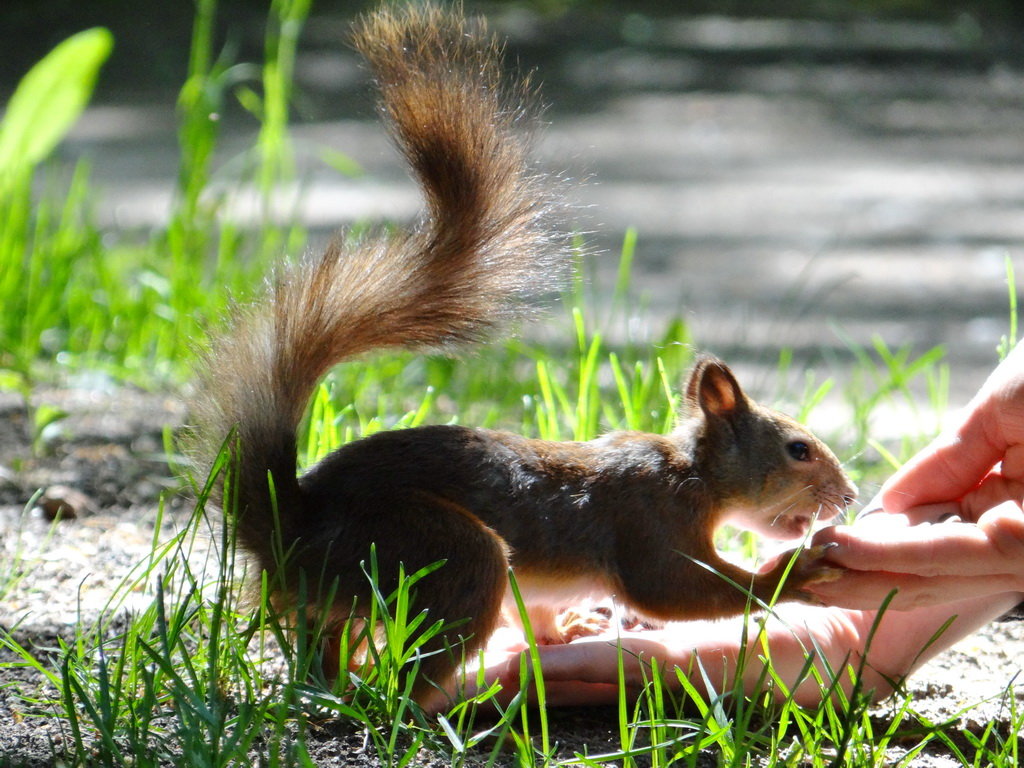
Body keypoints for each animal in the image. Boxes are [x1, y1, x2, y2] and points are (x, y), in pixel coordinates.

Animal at [190, 4, 856, 704]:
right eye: (798, 449)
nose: (849, 496)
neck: (692, 474)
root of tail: (291, 531)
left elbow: (541, 607)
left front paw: (563, 629)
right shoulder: (649, 519)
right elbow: (671, 591)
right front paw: (791, 574)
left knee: (330, 651)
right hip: (439, 549)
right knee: (405, 680)